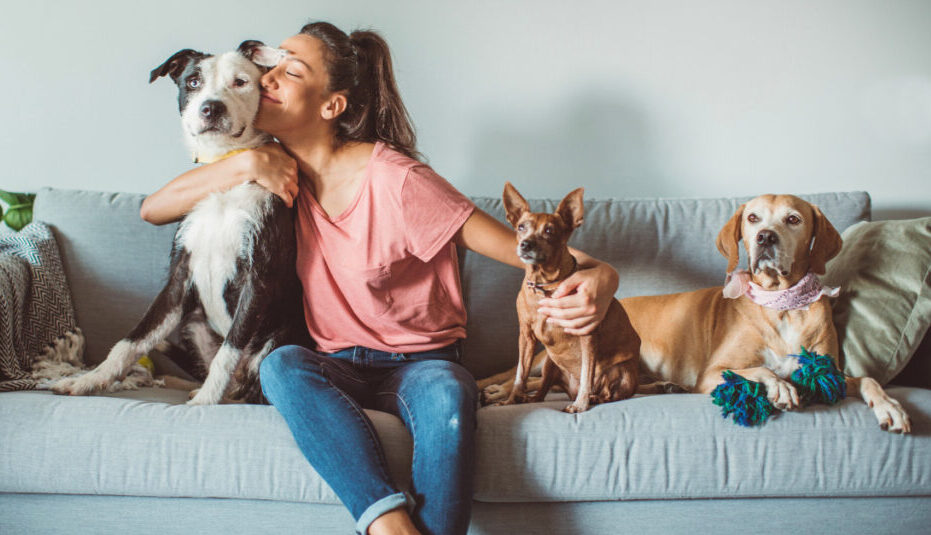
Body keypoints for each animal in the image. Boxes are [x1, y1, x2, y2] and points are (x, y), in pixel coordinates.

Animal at [53, 39, 306, 404]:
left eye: (241, 82)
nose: (211, 108)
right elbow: (131, 340)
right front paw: (90, 379)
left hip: (277, 336)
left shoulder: (258, 278)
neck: (223, 174)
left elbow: (229, 351)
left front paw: (205, 402)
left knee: (253, 388)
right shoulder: (178, 277)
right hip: (192, 322)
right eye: (193, 82)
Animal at [496, 182, 640, 412]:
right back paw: (530, 398)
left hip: (623, 370)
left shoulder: (587, 335)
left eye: (549, 231)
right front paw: (512, 400)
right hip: (549, 363)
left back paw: (595, 398)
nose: (525, 244)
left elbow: (587, 373)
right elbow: (521, 374)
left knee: (609, 393)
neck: (544, 285)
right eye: (521, 227)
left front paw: (580, 405)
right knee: (542, 391)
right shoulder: (526, 336)